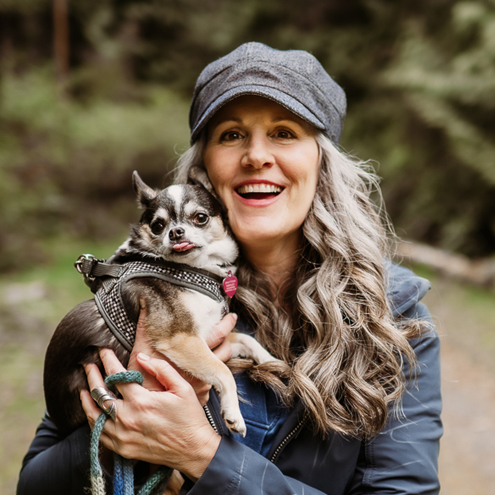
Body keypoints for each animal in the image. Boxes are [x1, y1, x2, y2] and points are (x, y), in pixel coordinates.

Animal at [44, 169, 278, 440]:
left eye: (200, 218)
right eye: (158, 226)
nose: (175, 232)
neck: (192, 269)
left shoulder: (207, 333)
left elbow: (246, 340)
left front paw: (272, 361)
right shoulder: (180, 338)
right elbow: (222, 370)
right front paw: (233, 414)